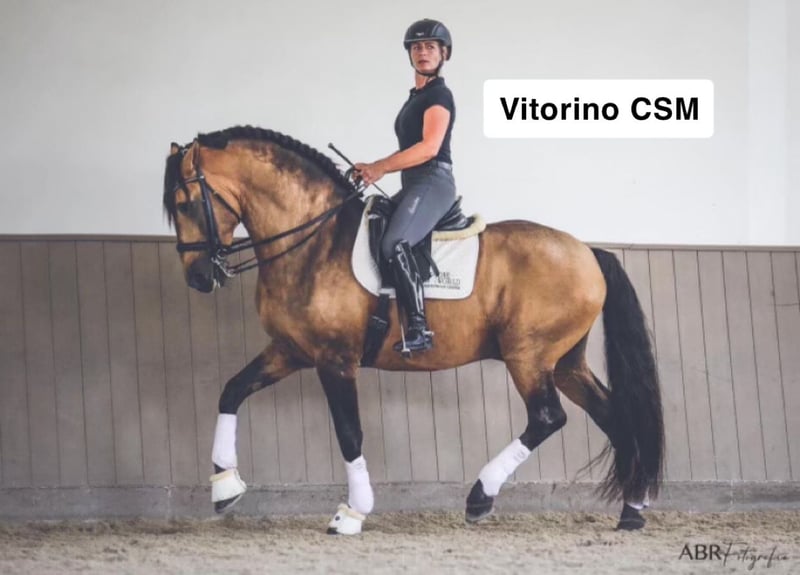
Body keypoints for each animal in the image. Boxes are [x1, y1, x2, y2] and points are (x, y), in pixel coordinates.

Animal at [162, 125, 664, 535]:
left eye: (185, 204)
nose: (198, 278)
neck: (315, 243)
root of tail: (587, 251)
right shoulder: (290, 350)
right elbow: (232, 390)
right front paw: (224, 487)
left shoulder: (335, 360)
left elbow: (350, 433)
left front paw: (352, 512)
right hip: (564, 363)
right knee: (614, 417)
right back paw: (631, 511)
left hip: (528, 356)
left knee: (547, 417)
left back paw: (480, 497)